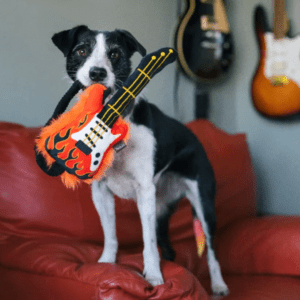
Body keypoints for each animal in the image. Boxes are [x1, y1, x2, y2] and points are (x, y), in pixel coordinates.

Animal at [51, 25, 229, 296]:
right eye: (81, 51)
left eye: (115, 54)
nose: (97, 73)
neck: (110, 122)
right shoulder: (101, 192)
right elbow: (111, 234)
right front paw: (105, 265)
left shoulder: (145, 192)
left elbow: (148, 242)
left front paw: (154, 277)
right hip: (162, 208)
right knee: (167, 243)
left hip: (203, 204)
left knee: (211, 249)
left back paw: (218, 284)